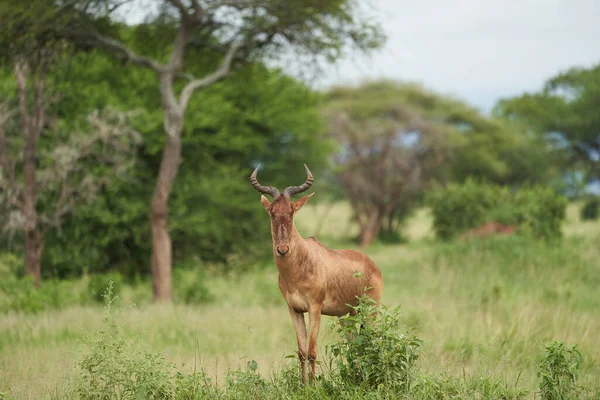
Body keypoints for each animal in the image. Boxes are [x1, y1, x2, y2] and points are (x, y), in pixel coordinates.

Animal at [250, 163, 384, 384]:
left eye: (291, 212)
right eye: (272, 213)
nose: (282, 250)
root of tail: (373, 265)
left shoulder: (315, 308)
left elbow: (312, 351)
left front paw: (314, 386)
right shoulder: (294, 310)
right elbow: (301, 352)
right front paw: (304, 385)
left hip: (370, 310)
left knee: (371, 341)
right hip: (346, 315)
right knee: (355, 345)